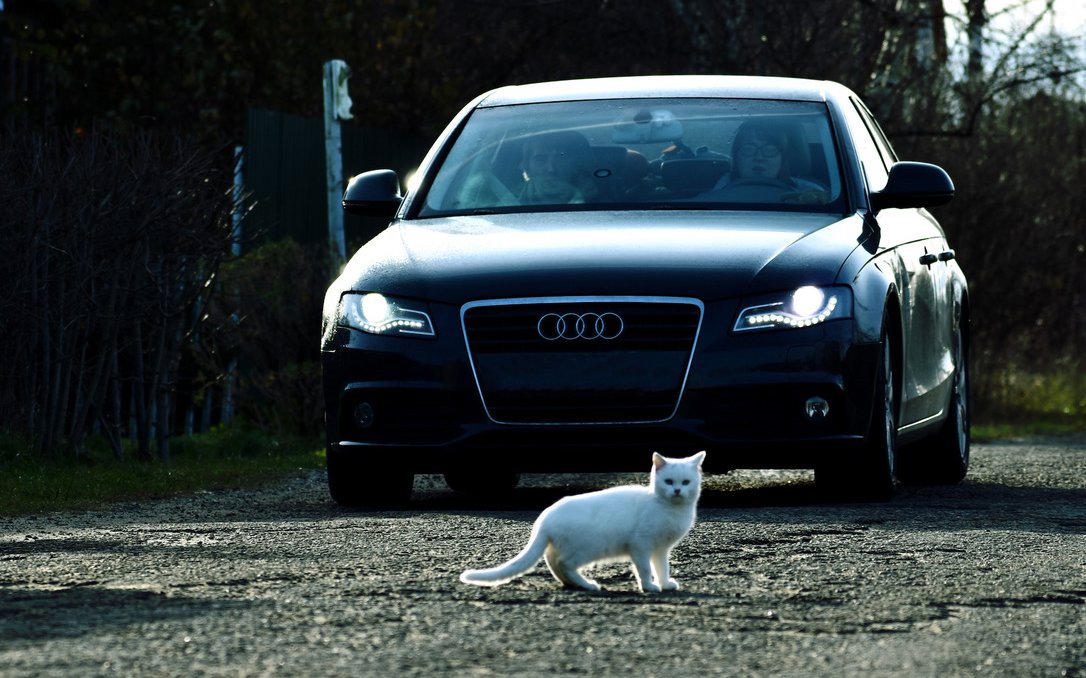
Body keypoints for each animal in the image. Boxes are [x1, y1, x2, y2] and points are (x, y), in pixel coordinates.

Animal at [456, 452, 703, 591]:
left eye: (686, 482)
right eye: (669, 481)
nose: (678, 490)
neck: (671, 509)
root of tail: (545, 517)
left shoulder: (660, 550)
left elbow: (662, 567)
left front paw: (665, 584)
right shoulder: (640, 545)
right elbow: (644, 568)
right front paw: (649, 586)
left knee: (553, 562)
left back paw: (572, 584)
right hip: (588, 548)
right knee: (564, 563)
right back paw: (587, 585)